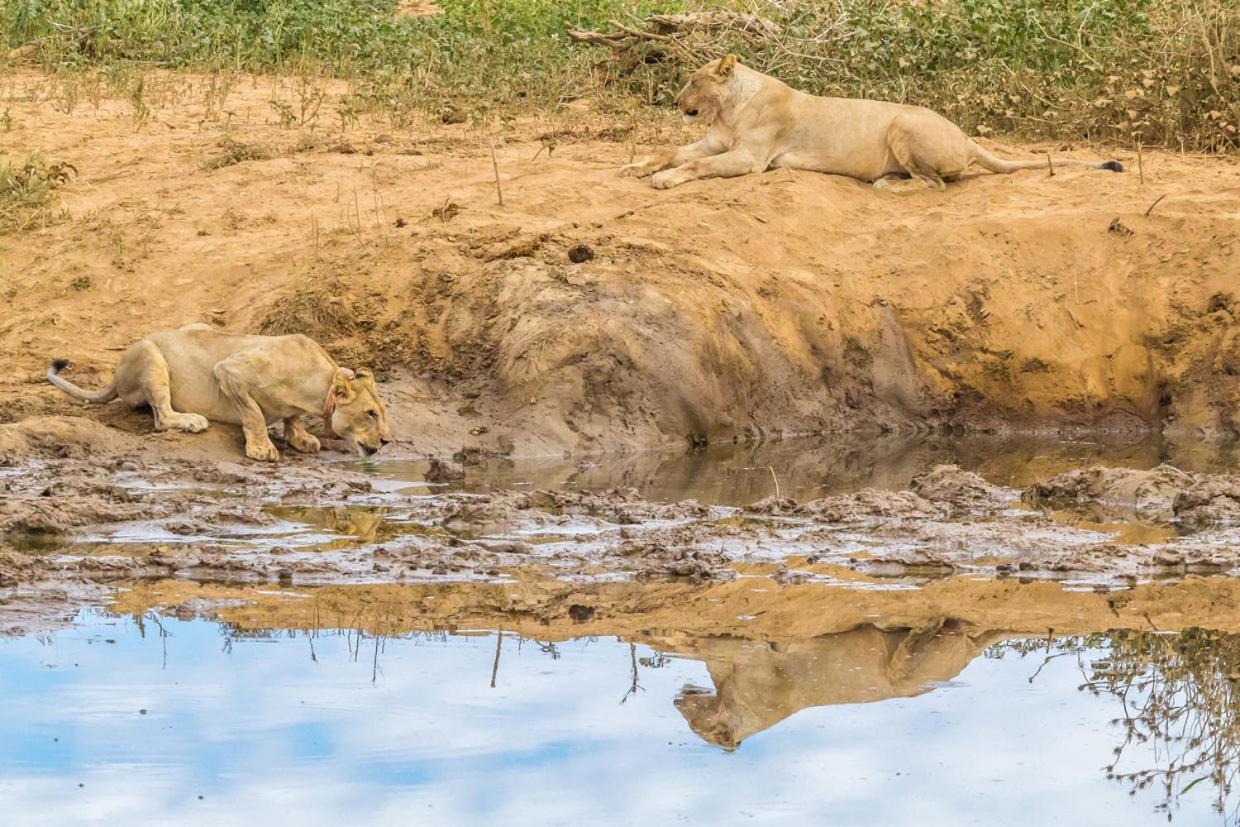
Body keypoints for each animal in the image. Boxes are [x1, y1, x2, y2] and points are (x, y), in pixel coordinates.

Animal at [48, 322, 389, 463]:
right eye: (370, 413)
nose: (386, 441)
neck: (321, 383)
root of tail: (115, 374)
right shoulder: (230, 370)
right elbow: (253, 414)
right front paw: (261, 449)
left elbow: (292, 417)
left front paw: (301, 437)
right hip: (150, 355)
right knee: (161, 415)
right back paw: (192, 421)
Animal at [624, 54, 1120, 189]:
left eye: (692, 81)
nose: (676, 101)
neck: (729, 109)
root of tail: (965, 136)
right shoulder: (717, 143)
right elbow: (670, 151)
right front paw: (635, 166)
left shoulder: (749, 158)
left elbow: (695, 165)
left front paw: (664, 180)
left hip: (903, 126)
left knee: (935, 185)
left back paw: (886, 184)